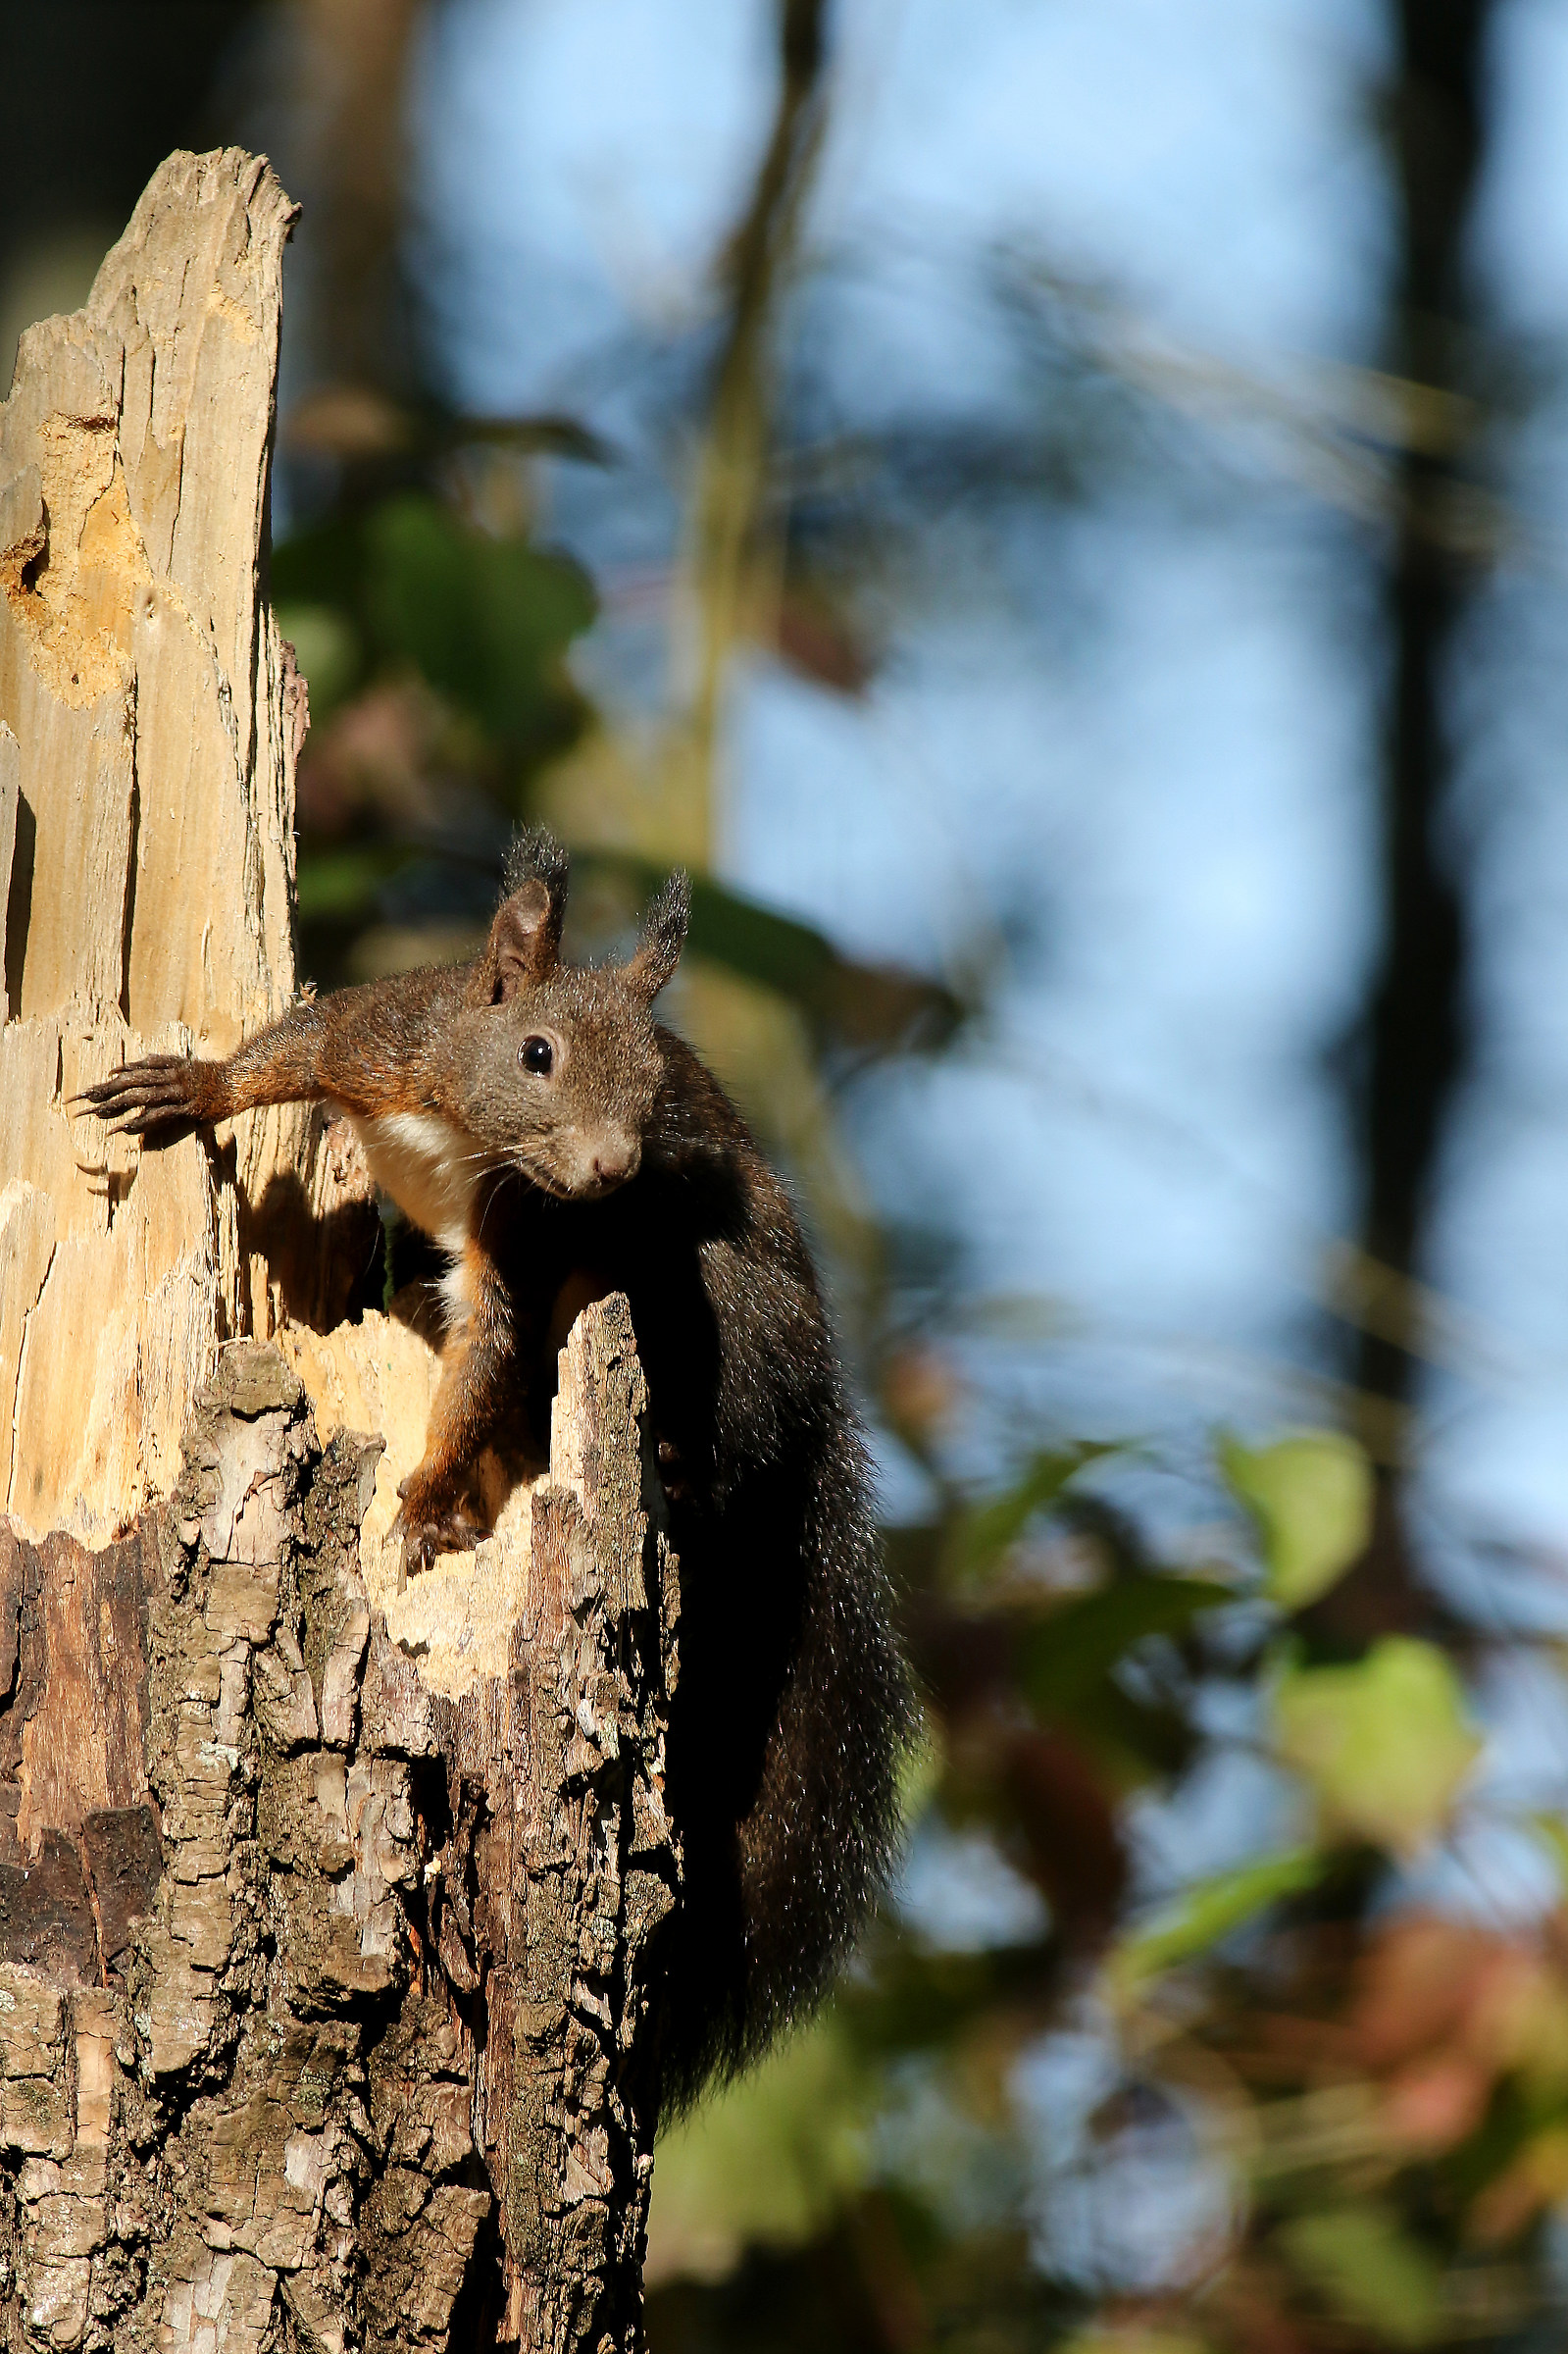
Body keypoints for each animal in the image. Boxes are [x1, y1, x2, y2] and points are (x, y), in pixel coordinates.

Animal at [77, 828, 913, 2106]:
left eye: (658, 1085)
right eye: (537, 1053)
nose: (614, 1165)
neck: (469, 1136)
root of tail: (820, 1401)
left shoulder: (519, 1243)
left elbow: (482, 1364)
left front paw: (424, 1503)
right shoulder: (384, 1038)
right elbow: (291, 1047)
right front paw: (193, 1091)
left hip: (709, 1301)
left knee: (725, 1440)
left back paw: (674, 1460)